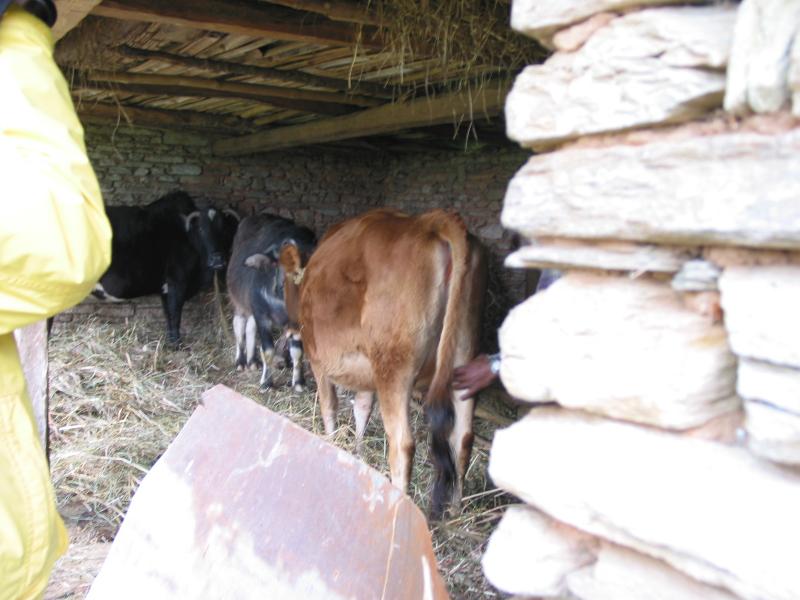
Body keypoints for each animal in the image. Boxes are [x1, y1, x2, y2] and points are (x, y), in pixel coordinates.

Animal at [94, 191, 240, 345]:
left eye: (225, 229)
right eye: (201, 229)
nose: (217, 259)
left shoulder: (165, 288)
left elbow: (168, 315)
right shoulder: (176, 282)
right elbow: (175, 314)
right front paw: (177, 344)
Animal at [226, 213, 317, 391]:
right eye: (279, 264)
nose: (283, 285)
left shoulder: (296, 324)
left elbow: (298, 352)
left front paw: (298, 383)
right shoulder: (262, 315)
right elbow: (268, 350)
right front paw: (266, 383)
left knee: (250, 327)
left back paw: (252, 361)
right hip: (240, 302)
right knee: (239, 324)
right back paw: (241, 361)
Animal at [298, 208, 487, 519]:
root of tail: (428, 222)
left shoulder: (317, 361)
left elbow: (329, 408)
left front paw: (332, 444)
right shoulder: (366, 374)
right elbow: (362, 409)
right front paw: (358, 452)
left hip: (394, 370)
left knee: (402, 445)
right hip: (464, 357)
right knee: (462, 437)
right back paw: (456, 511)